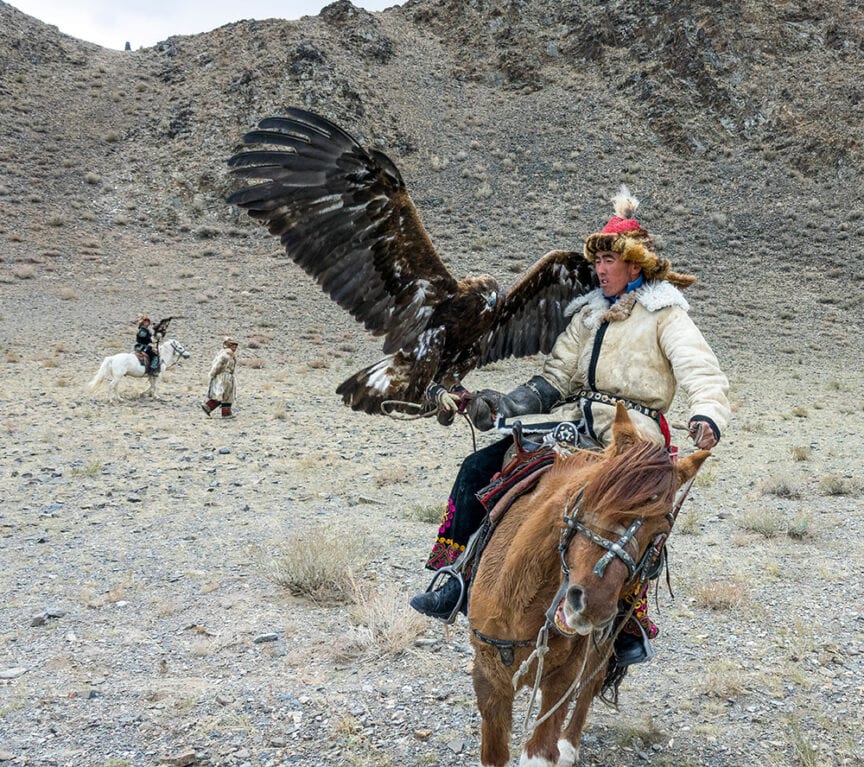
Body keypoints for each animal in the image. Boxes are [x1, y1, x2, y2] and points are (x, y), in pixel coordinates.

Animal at [468, 404, 710, 767]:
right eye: (591, 495)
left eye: (661, 531)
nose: (590, 606)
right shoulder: (489, 677)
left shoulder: (563, 678)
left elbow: (544, 745)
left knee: (591, 683)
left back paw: (569, 746)